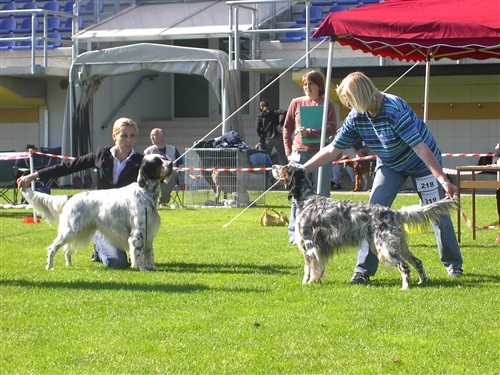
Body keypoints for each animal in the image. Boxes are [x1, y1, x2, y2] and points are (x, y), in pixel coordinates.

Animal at [21, 154, 172, 272]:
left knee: (67, 249)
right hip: (70, 230)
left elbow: (149, 252)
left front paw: (152, 267)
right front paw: (142, 268)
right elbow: (139, 253)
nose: (171, 163)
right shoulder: (138, 231)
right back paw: (49, 266)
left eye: (164, 158)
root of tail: (71, 197)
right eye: (157, 162)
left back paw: (69, 264)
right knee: (53, 248)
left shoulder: (149, 230)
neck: (145, 192)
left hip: (77, 231)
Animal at [272, 164, 458, 290]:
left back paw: (405, 287)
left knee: (404, 266)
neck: (307, 200)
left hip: (385, 248)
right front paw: (313, 281)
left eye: (285, 167)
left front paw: (308, 283)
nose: (273, 166)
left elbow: (309, 268)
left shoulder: (309, 246)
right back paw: (422, 281)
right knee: (417, 261)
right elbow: (314, 268)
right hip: (398, 246)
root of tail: (394, 212)